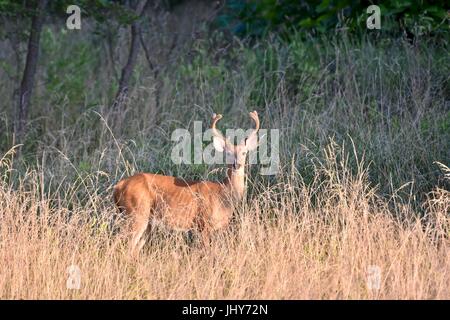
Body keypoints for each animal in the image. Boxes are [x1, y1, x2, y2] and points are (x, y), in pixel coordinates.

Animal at [112, 111, 260, 254]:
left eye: (244, 152)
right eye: (228, 153)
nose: (237, 165)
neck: (223, 195)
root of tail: (119, 186)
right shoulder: (203, 223)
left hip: (146, 221)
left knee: (134, 249)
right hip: (136, 212)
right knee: (122, 243)